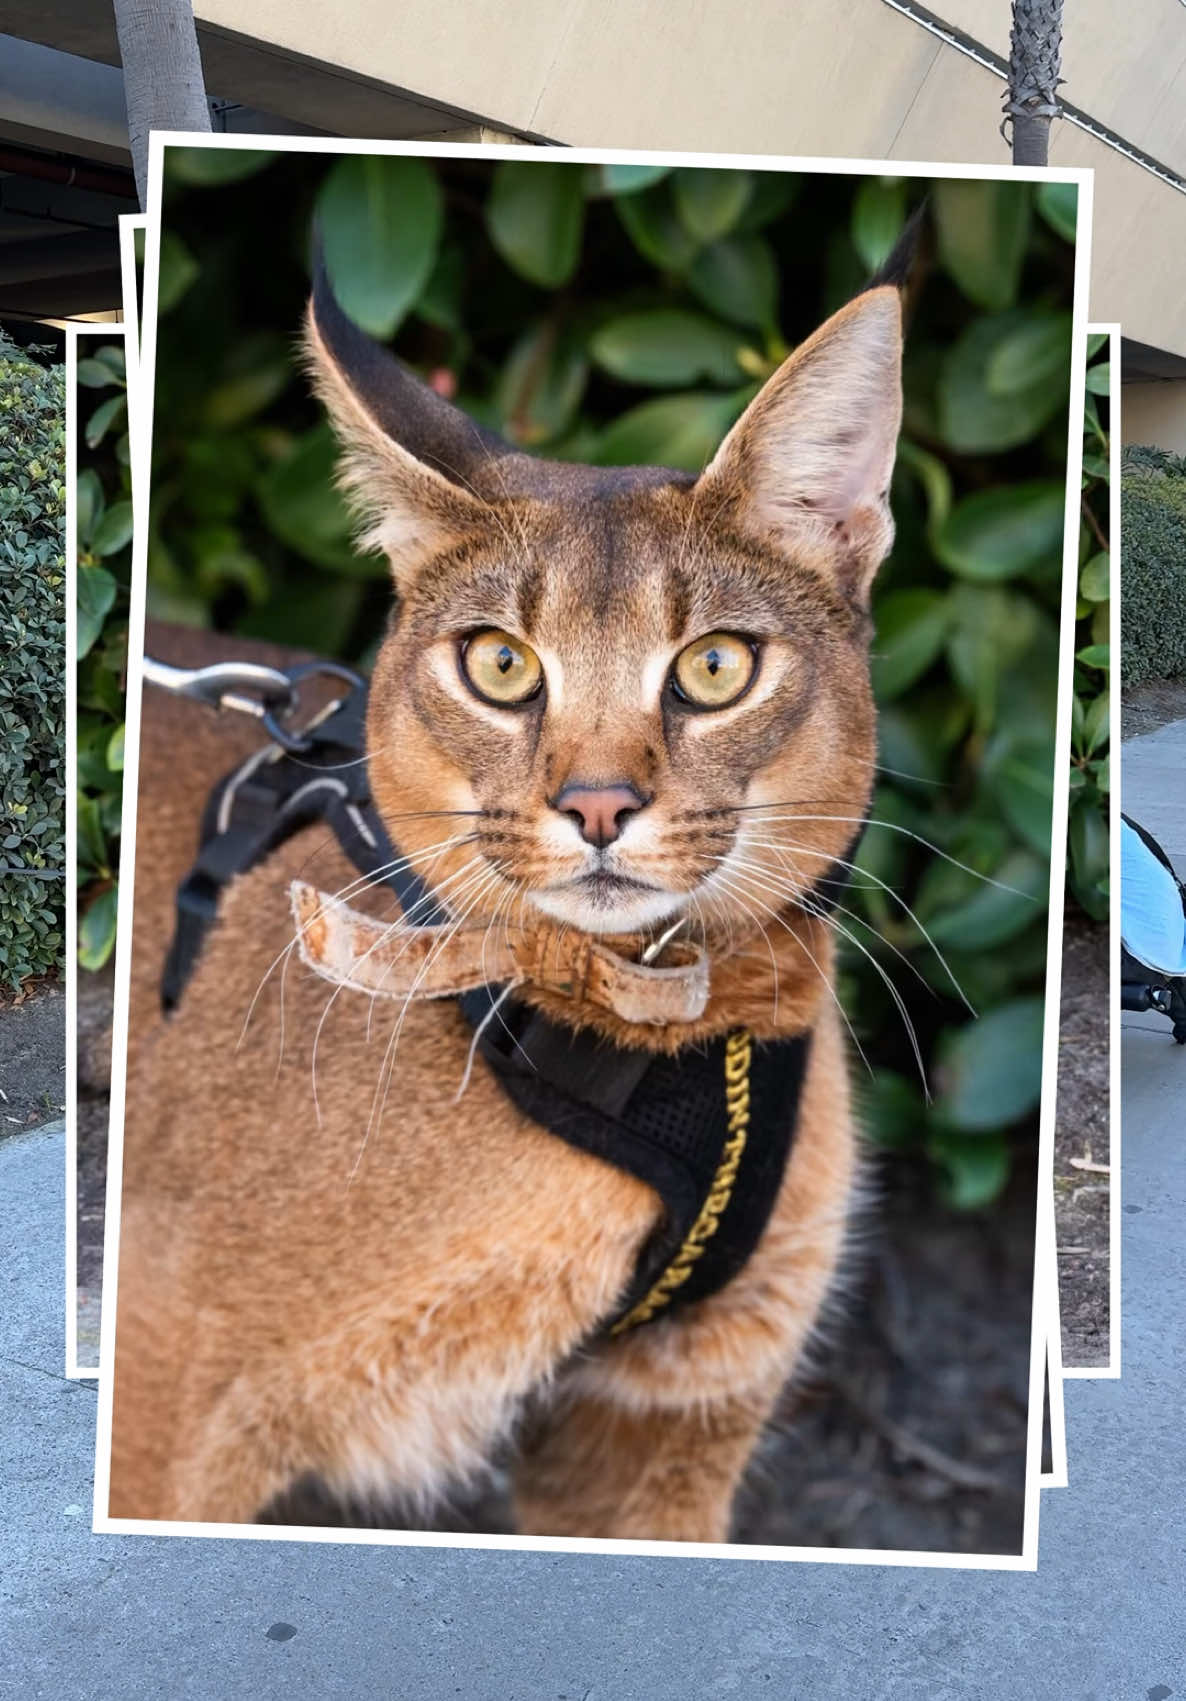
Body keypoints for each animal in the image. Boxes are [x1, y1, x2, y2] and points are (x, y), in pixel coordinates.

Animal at [110, 246, 905, 1551]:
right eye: (499, 665)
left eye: (714, 666)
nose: (597, 805)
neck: (680, 1018)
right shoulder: (163, 1375)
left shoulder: (663, 1425)